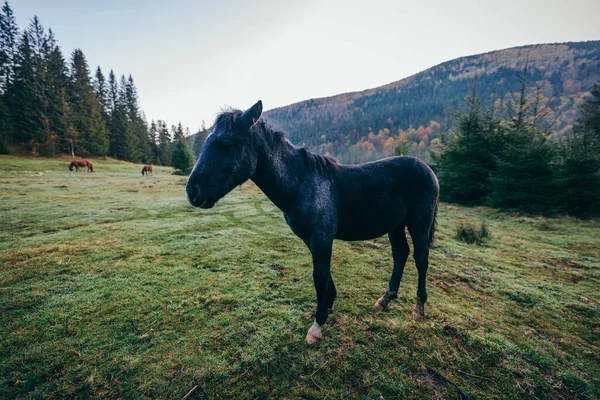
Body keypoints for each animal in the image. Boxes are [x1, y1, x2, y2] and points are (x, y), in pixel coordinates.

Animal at [185, 101, 438, 344]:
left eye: (225, 143)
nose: (192, 191)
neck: (302, 183)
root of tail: (429, 170)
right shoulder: (312, 239)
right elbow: (325, 276)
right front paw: (328, 306)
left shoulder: (322, 238)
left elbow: (319, 276)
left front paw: (317, 326)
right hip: (395, 225)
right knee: (400, 254)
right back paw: (385, 299)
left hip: (419, 224)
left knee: (420, 259)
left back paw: (419, 308)